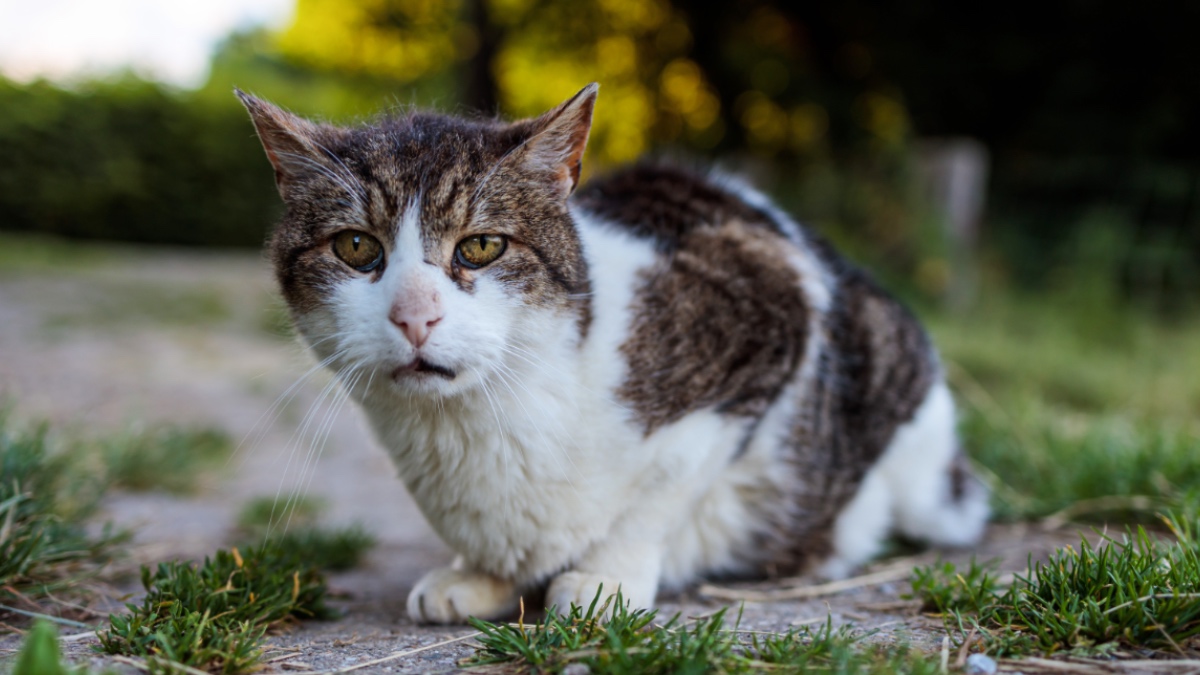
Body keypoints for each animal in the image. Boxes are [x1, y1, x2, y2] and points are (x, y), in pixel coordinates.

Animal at [238, 82, 988, 619]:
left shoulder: (769, 313)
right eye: (355, 246)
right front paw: (482, 576)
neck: (480, 422)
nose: (414, 316)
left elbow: (658, 494)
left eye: (481, 246)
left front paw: (604, 576)